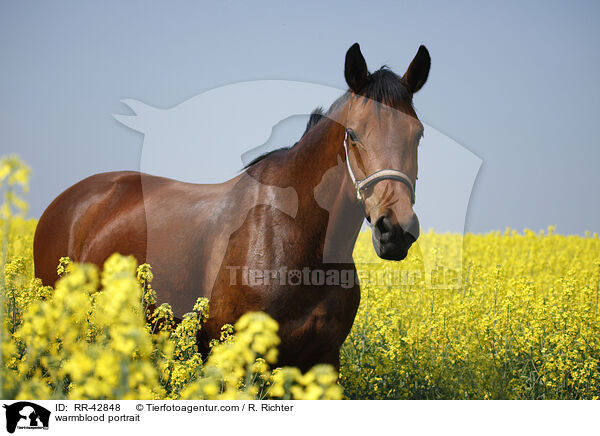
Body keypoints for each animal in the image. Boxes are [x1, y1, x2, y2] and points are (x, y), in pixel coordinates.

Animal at [32, 43, 428, 372]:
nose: (394, 230)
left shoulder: (323, 359)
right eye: (353, 133)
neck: (295, 237)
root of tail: (69, 200)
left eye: (418, 134)